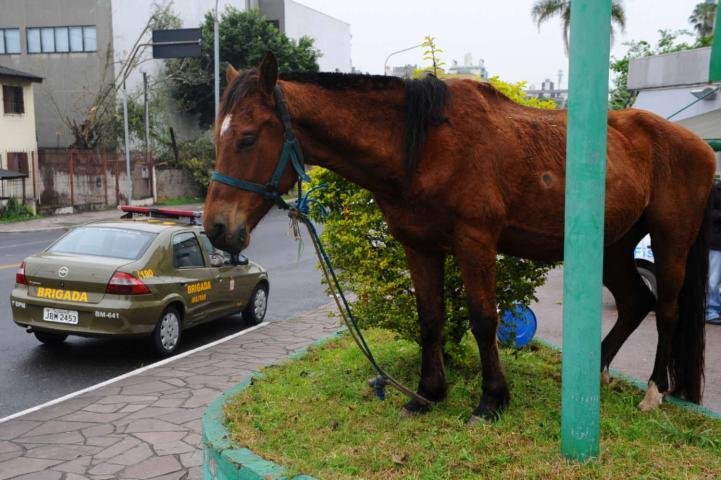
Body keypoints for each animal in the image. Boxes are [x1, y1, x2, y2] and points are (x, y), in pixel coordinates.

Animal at [204, 52, 715, 423]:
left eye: (247, 137)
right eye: (217, 137)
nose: (216, 228)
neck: (423, 145)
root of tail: (698, 146)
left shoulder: (476, 242)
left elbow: (484, 319)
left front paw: (491, 400)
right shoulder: (419, 246)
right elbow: (430, 319)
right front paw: (427, 394)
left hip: (670, 242)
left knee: (666, 310)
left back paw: (654, 391)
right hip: (613, 245)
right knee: (635, 304)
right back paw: (596, 371)